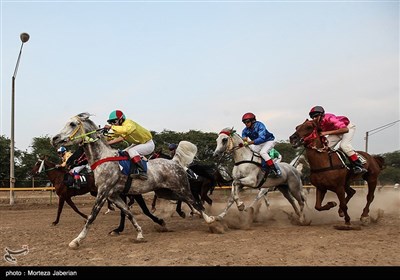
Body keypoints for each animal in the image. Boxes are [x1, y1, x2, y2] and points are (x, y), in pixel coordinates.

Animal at [50, 112, 216, 248]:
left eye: (72, 124)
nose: (54, 139)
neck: (103, 158)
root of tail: (175, 161)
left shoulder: (103, 192)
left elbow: (92, 216)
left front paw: (77, 240)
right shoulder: (113, 195)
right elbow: (128, 213)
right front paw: (140, 234)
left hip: (181, 187)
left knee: (195, 200)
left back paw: (210, 220)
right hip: (165, 191)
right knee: (187, 201)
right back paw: (196, 214)